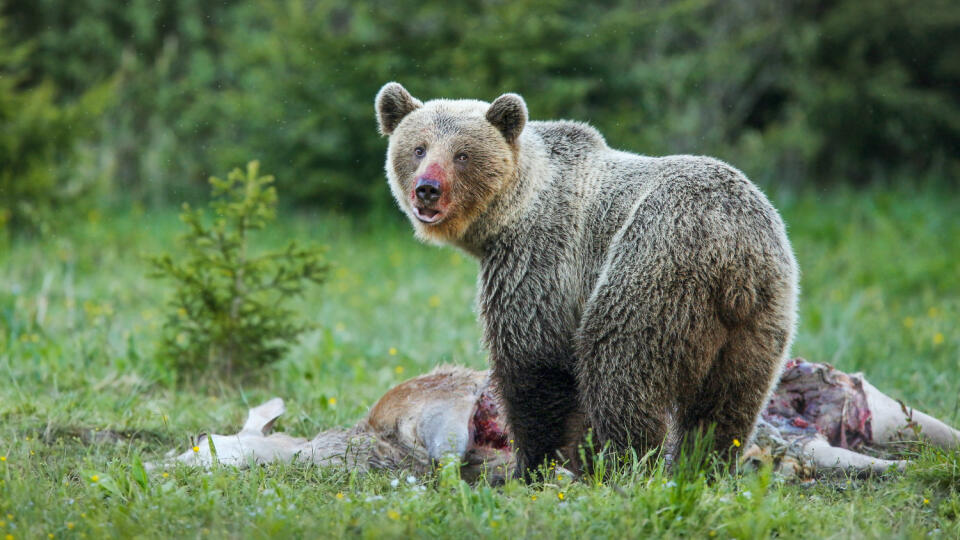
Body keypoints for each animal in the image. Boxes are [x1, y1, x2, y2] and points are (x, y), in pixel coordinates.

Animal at [376, 82, 804, 478]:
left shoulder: (539, 258)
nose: (427, 189)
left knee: (618, 372)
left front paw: (533, 464)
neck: (511, 210)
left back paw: (624, 466)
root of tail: (733, 251)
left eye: (462, 155)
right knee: (727, 405)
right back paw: (701, 468)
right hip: (761, 318)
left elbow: (534, 362)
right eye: (419, 148)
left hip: (653, 268)